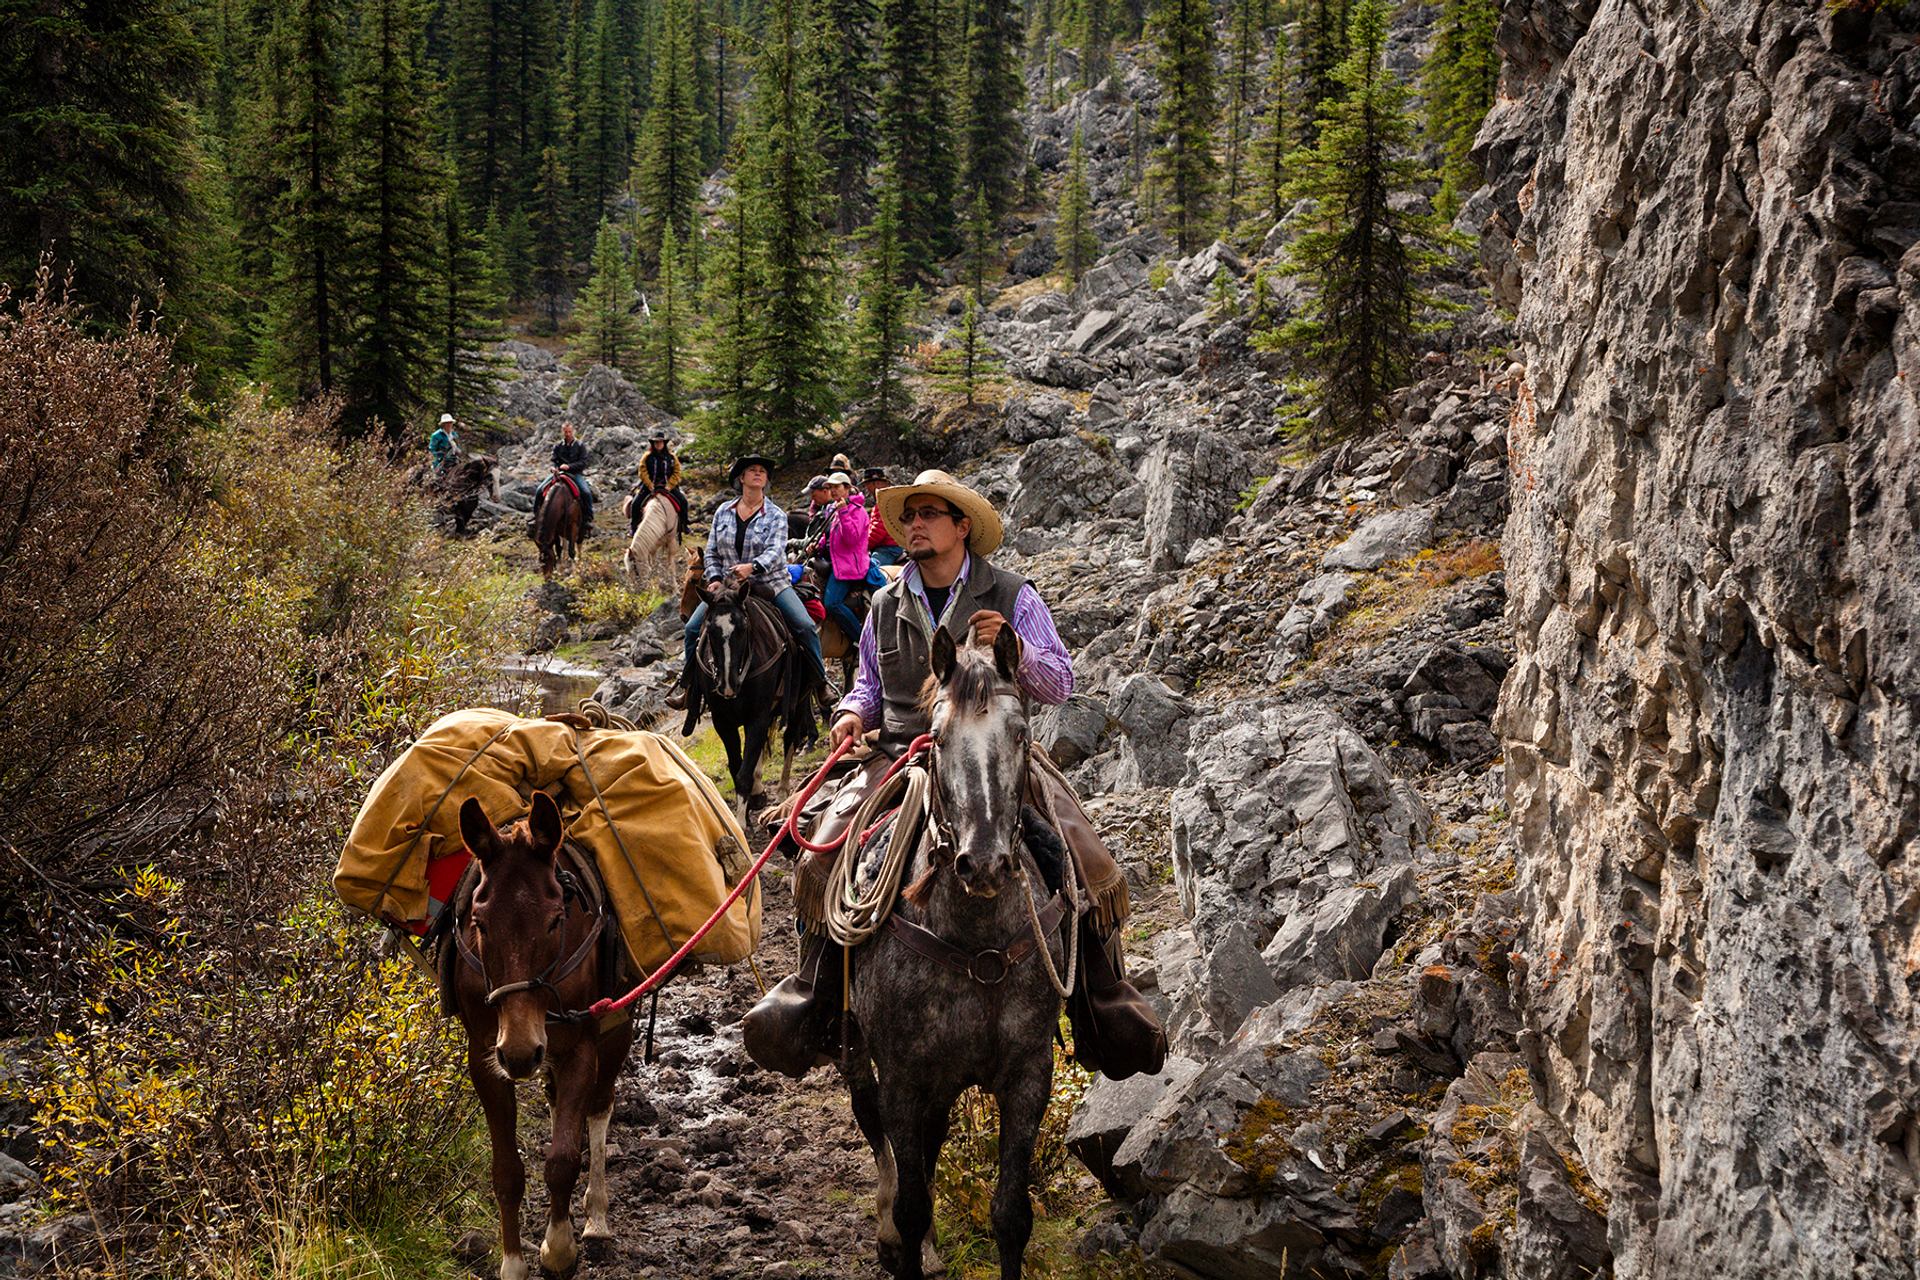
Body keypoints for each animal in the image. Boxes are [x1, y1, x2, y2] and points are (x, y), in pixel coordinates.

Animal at [447, 790, 629, 1280]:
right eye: (479, 922)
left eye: (555, 919)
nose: (521, 1052)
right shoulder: (485, 1059)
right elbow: (507, 1172)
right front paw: (513, 1263)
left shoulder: (581, 1048)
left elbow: (562, 1160)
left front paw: (559, 1249)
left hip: (616, 1028)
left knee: (599, 1107)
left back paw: (597, 1216)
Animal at [683, 579, 817, 821]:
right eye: (710, 628)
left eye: (743, 627)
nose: (727, 685)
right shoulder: (722, 721)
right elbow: (737, 767)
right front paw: (751, 804)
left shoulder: (758, 716)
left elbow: (744, 773)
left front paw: (741, 822)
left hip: (799, 700)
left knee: (790, 739)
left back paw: (782, 791)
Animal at [837, 629, 1067, 1280]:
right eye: (937, 737)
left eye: (1020, 733)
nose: (983, 863)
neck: (977, 945)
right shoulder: (903, 1078)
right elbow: (912, 1205)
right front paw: (903, 1240)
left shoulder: (1028, 1075)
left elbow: (1011, 1216)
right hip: (863, 1060)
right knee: (877, 1131)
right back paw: (890, 1233)